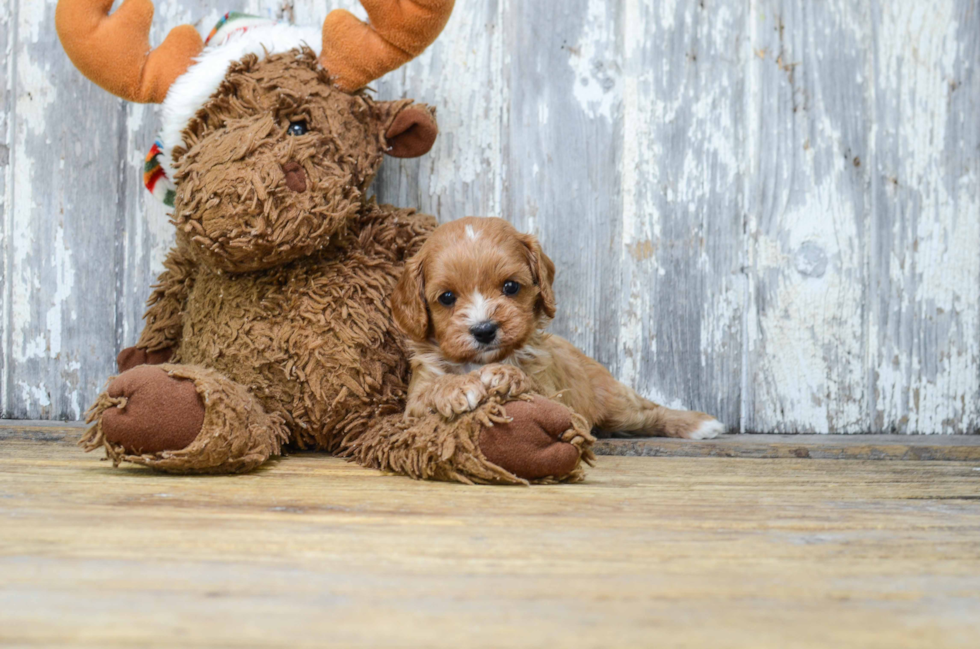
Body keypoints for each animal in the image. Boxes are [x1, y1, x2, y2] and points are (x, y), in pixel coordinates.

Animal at [394, 215, 724, 438]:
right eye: (447, 297)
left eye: (511, 287)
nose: (484, 330)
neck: (478, 362)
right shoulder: (413, 402)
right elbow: (430, 391)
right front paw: (458, 387)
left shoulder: (554, 393)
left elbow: (534, 386)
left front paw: (506, 375)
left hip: (614, 402)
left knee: (648, 413)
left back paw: (699, 424)